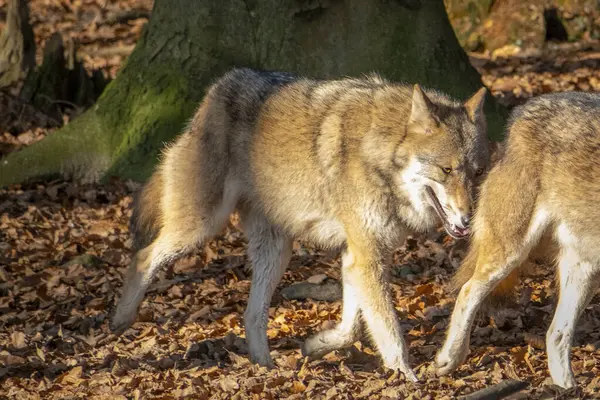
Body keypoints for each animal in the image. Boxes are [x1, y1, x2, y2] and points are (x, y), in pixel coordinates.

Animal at [110, 67, 490, 380]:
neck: (379, 155)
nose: (468, 220)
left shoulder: (357, 256)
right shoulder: (366, 256)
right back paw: (120, 319)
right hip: (200, 227)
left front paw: (315, 345)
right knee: (143, 256)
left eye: (476, 173)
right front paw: (406, 376)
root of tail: (215, 91)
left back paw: (266, 367)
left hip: (277, 253)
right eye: (446, 170)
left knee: (251, 314)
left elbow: (352, 327)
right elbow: (388, 328)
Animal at [434, 91, 600, 388]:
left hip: (584, 268)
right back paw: (449, 359)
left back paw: (566, 388)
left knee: (555, 333)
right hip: (509, 251)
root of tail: (524, 111)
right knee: (467, 291)